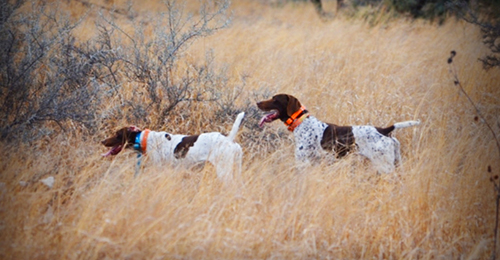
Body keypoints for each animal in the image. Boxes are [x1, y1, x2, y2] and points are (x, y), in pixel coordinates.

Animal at [100, 111, 245, 181]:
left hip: (224, 171)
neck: (146, 139)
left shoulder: (159, 168)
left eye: (117, 134)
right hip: (236, 169)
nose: (102, 141)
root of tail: (229, 139)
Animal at [256, 93, 420, 173]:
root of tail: (384, 130)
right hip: (396, 163)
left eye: (275, 99)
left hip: (384, 165)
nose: (257, 102)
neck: (302, 123)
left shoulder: (302, 163)